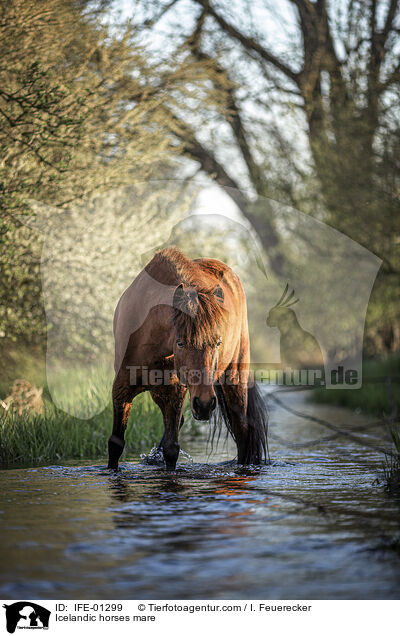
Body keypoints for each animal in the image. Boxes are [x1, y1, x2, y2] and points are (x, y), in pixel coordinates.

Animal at [108, 246, 268, 470]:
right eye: (181, 343)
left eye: (217, 342)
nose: (205, 404)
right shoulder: (121, 391)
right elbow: (116, 444)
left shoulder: (174, 394)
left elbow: (171, 449)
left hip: (234, 379)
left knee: (242, 429)